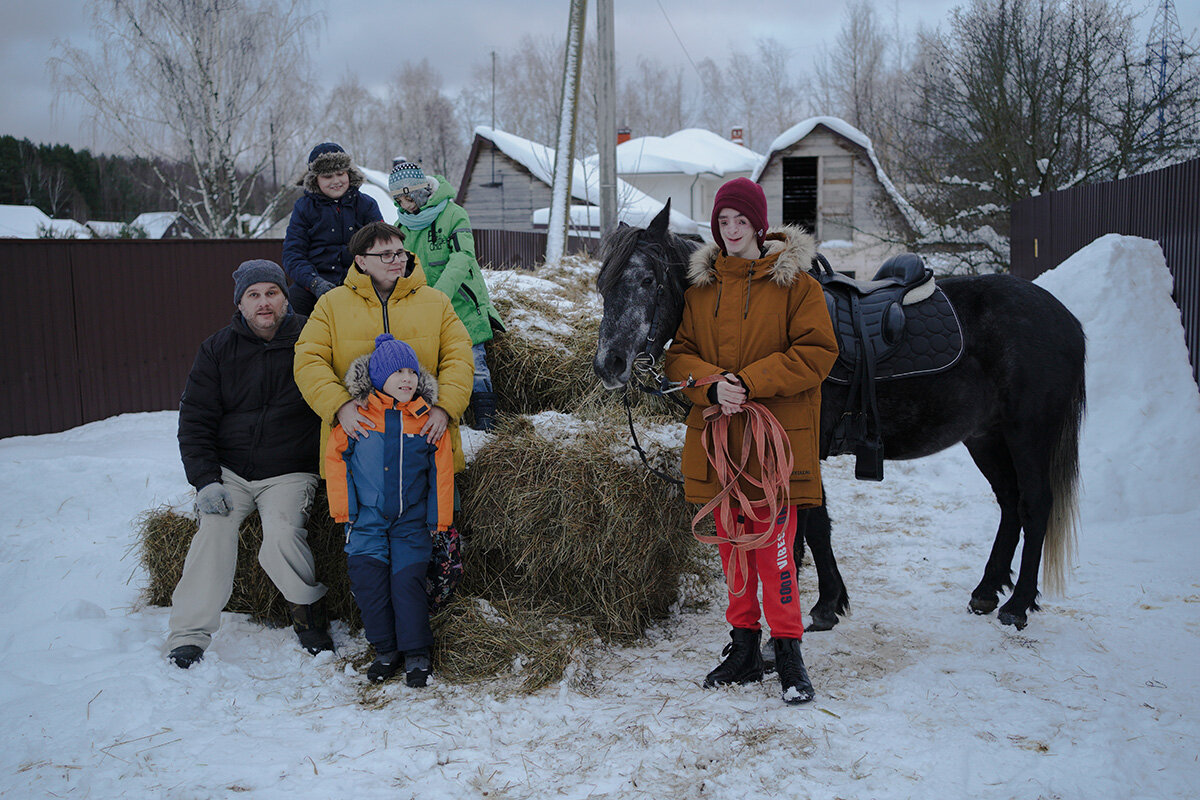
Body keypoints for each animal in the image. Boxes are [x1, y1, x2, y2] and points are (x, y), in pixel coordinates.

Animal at [592, 201, 1089, 633]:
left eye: (649, 279)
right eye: (603, 284)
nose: (608, 364)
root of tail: (1065, 318)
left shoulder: (803, 443)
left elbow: (814, 522)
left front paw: (825, 603)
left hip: (1028, 434)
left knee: (1034, 503)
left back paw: (1018, 604)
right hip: (985, 436)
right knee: (1009, 501)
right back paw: (987, 591)